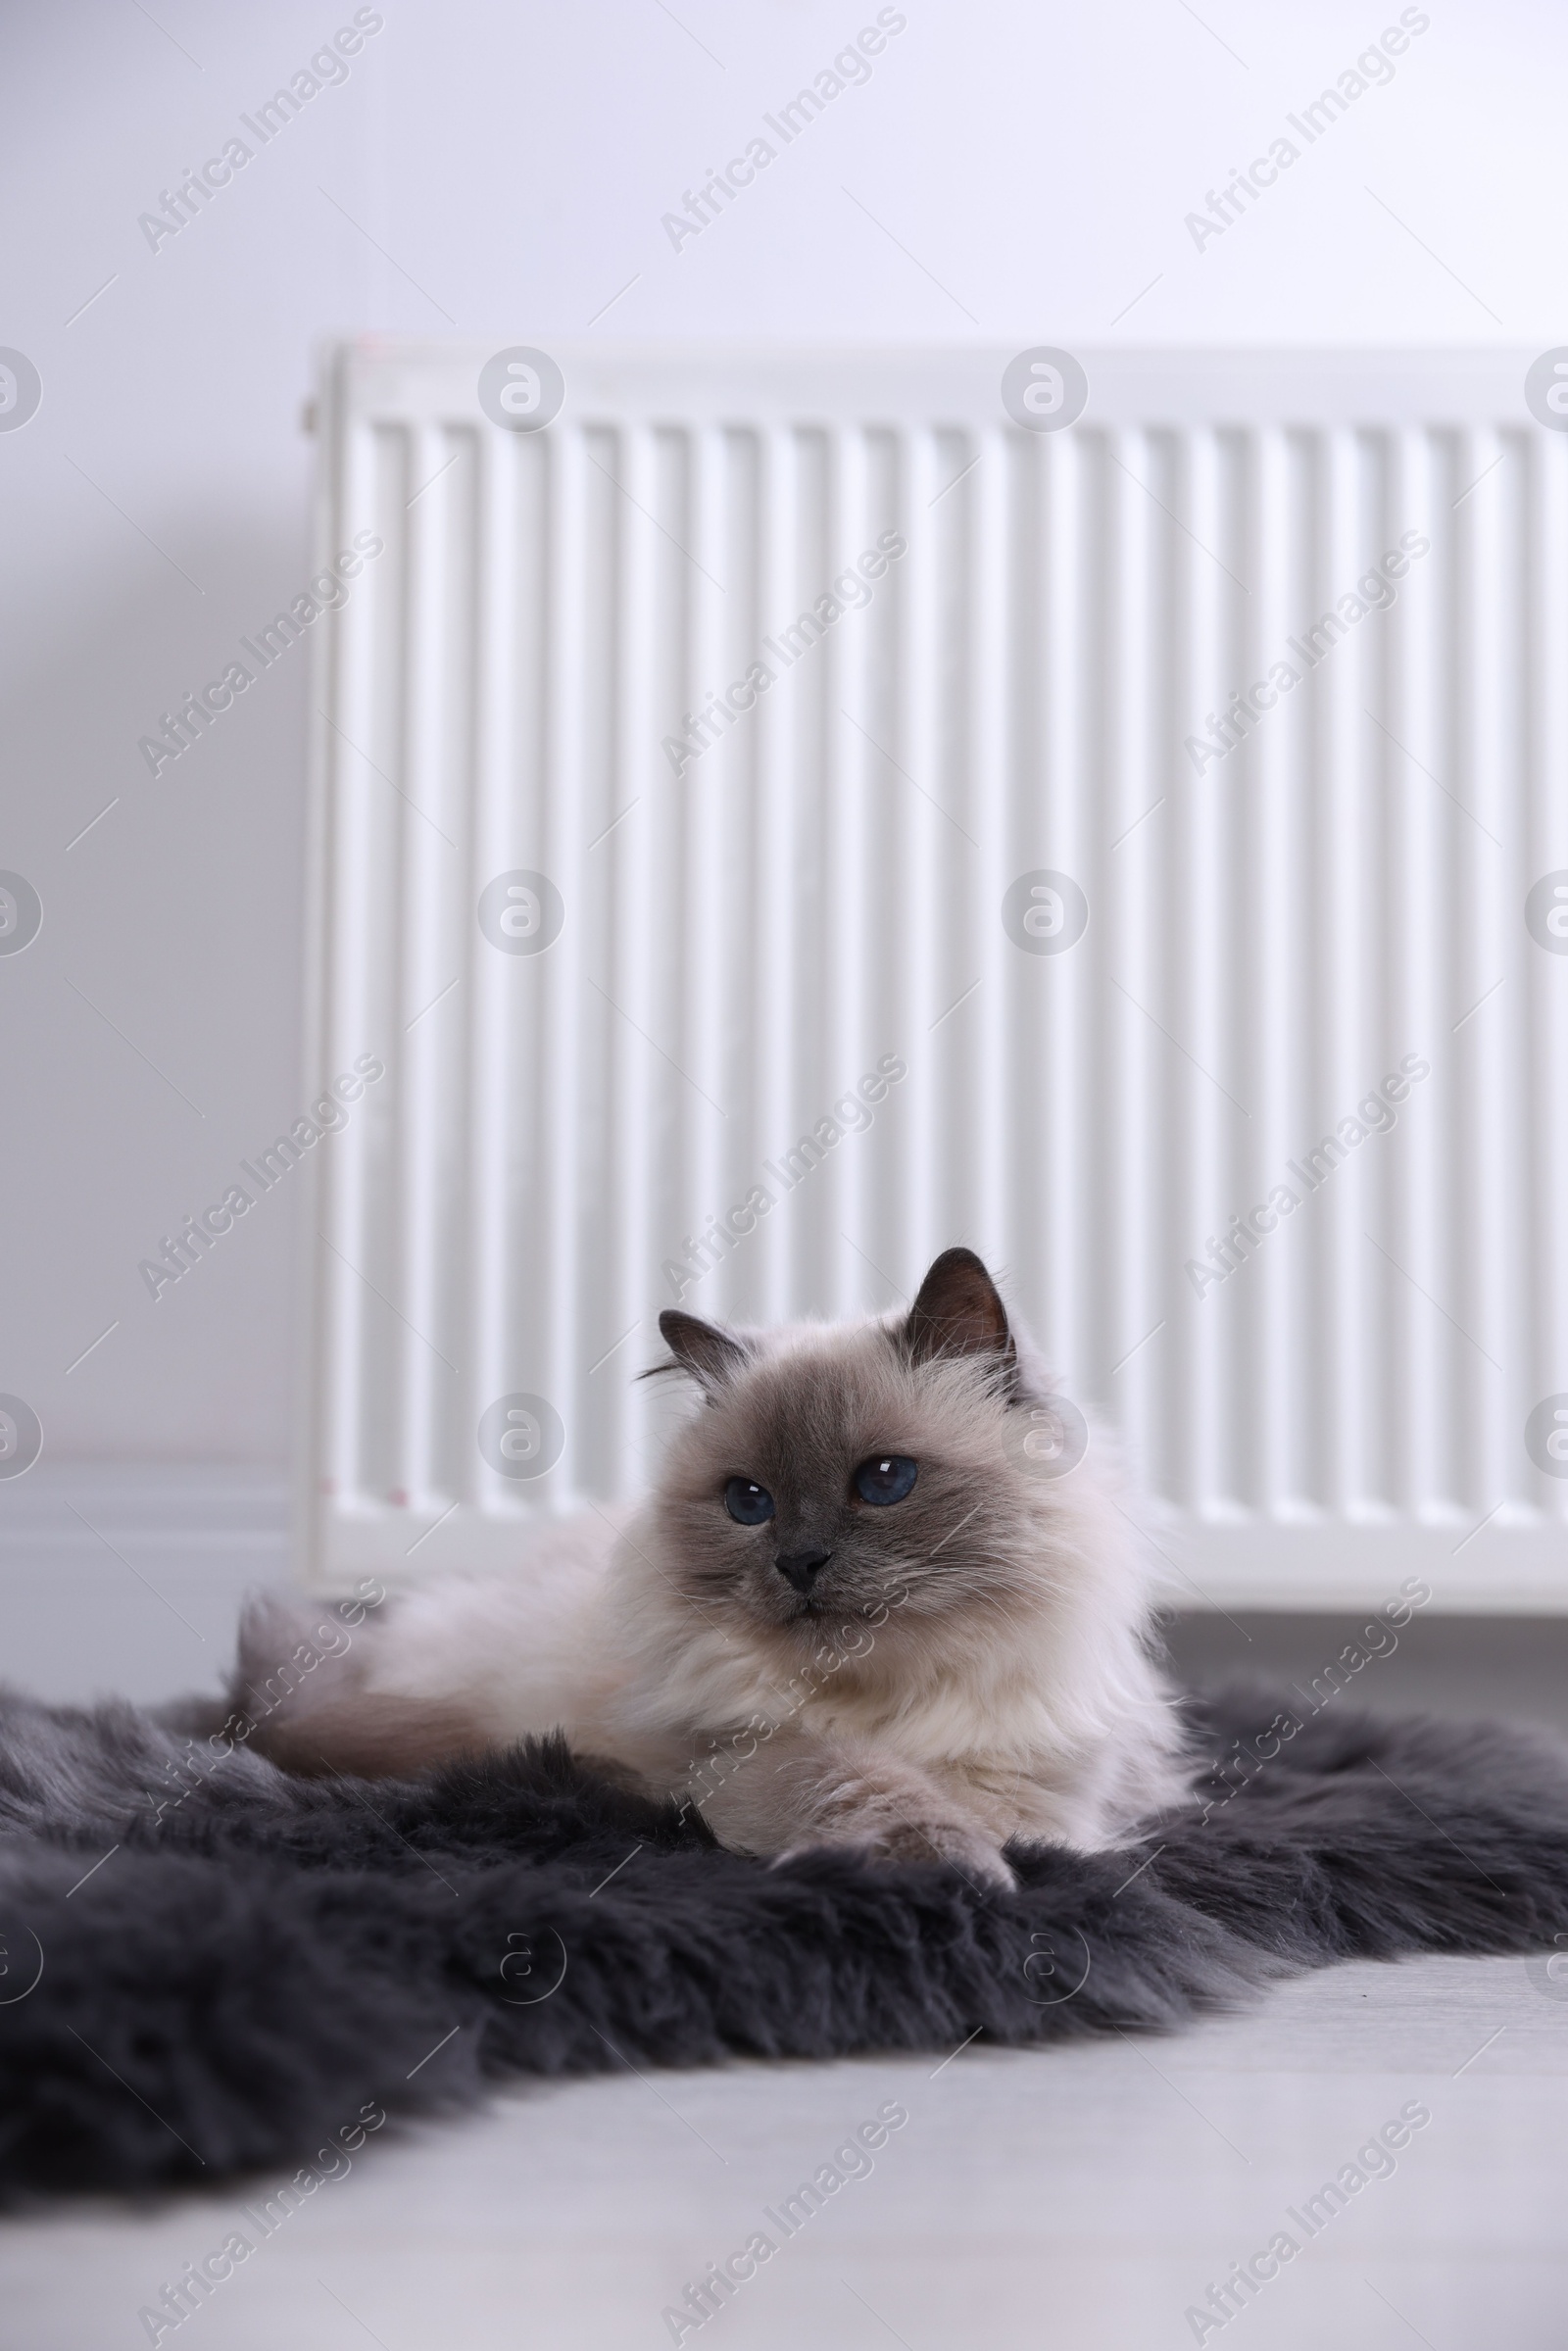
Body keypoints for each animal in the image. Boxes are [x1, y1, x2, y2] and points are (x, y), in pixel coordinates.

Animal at [236, 1250, 1189, 1889]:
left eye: (885, 1479)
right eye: (748, 1501)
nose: (800, 1562)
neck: (882, 1702)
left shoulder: (1035, 1790)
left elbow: (971, 1801)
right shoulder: (740, 1753)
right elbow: (862, 1780)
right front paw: (942, 1866)